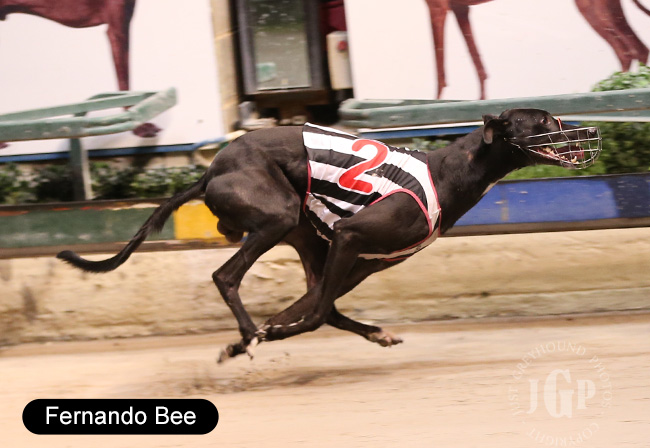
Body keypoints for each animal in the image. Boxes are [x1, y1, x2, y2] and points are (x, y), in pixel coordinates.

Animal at [57, 109, 601, 362]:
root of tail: (211, 171)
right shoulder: (350, 237)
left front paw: (257, 336)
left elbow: (312, 306)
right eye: (544, 121)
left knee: (317, 298)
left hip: (305, 235)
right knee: (226, 276)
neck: (452, 170)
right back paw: (249, 334)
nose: (586, 132)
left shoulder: (361, 259)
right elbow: (314, 313)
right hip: (277, 217)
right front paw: (264, 336)